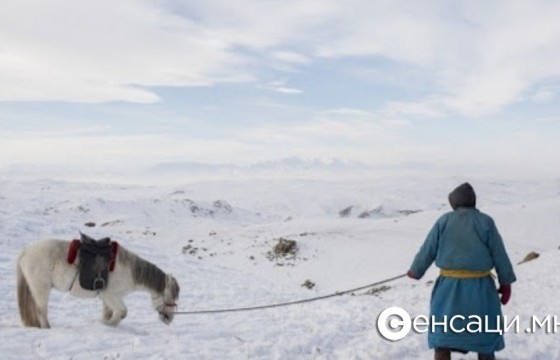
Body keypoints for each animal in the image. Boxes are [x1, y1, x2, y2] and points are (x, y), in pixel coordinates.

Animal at [17, 238, 179, 328]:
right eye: (168, 297)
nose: (170, 319)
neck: (130, 271)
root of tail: (26, 251)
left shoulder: (108, 299)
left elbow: (108, 313)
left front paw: (105, 324)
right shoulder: (111, 295)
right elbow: (122, 312)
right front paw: (109, 325)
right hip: (41, 289)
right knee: (41, 310)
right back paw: (47, 327)